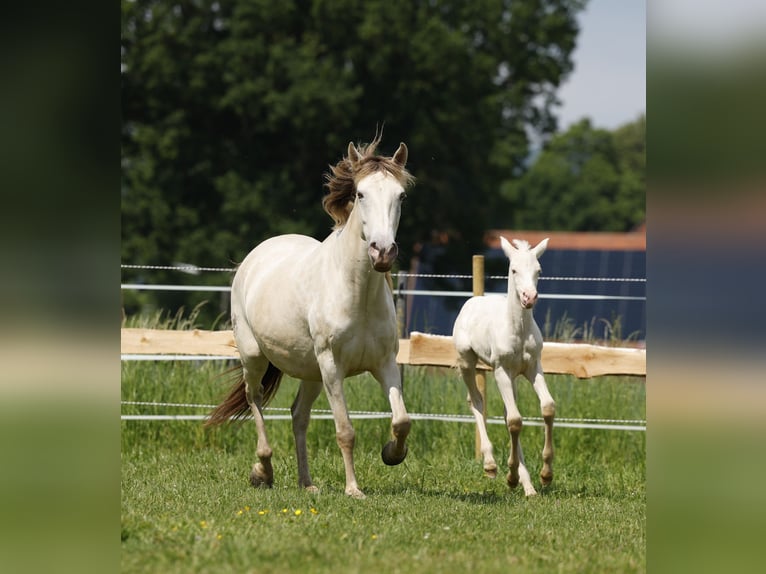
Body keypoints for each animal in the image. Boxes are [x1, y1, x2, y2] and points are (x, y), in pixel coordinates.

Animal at [206, 136, 414, 500]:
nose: (383, 252)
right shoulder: (332, 366)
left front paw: (391, 454)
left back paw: (307, 482)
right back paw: (263, 470)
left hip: (310, 372)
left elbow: (401, 421)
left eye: (400, 195)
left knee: (298, 416)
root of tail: (252, 258)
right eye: (360, 194)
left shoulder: (384, 363)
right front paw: (353, 489)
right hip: (255, 358)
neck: (356, 294)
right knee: (254, 399)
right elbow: (345, 430)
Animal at [452, 236, 556, 498]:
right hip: (467, 362)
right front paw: (511, 476)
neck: (518, 330)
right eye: (514, 270)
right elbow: (515, 421)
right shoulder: (501, 371)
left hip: (514, 377)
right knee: (476, 401)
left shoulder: (533, 367)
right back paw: (491, 465)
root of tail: (472, 301)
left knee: (509, 411)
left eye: (539, 271)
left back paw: (528, 486)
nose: (529, 297)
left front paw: (545, 475)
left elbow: (547, 408)